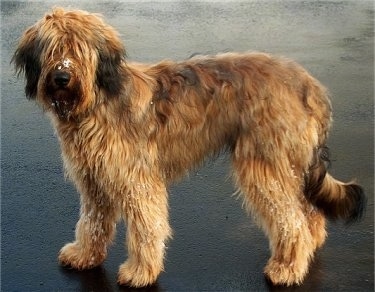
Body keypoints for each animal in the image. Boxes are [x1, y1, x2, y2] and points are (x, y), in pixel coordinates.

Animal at [12, 7, 368, 288]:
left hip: (265, 163)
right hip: (290, 163)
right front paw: (85, 254)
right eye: (53, 50)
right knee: (307, 209)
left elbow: (146, 228)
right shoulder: (94, 182)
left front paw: (140, 272)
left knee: (290, 218)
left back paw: (287, 268)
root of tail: (310, 84)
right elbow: (92, 222)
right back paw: (310, 245)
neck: (98, 100)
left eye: (79, 50)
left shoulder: (137, 181)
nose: (62, 77)